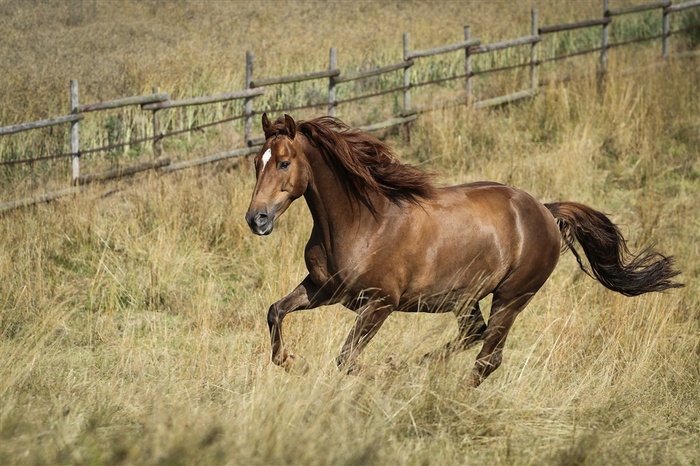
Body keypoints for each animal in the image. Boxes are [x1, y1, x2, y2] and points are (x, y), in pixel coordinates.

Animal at [243, 112, 680, 386]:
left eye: (283, 163)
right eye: (256, 163)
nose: (256, 219)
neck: (363, 222)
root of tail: (545, 211)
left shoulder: (380, 303)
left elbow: (347, 359)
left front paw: (383, 375)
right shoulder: (324, 289)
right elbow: (275, 311)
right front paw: (291, 361)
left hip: (512, 296)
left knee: (488, 357)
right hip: (465, 298)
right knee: (474, 337)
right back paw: (419, 367)